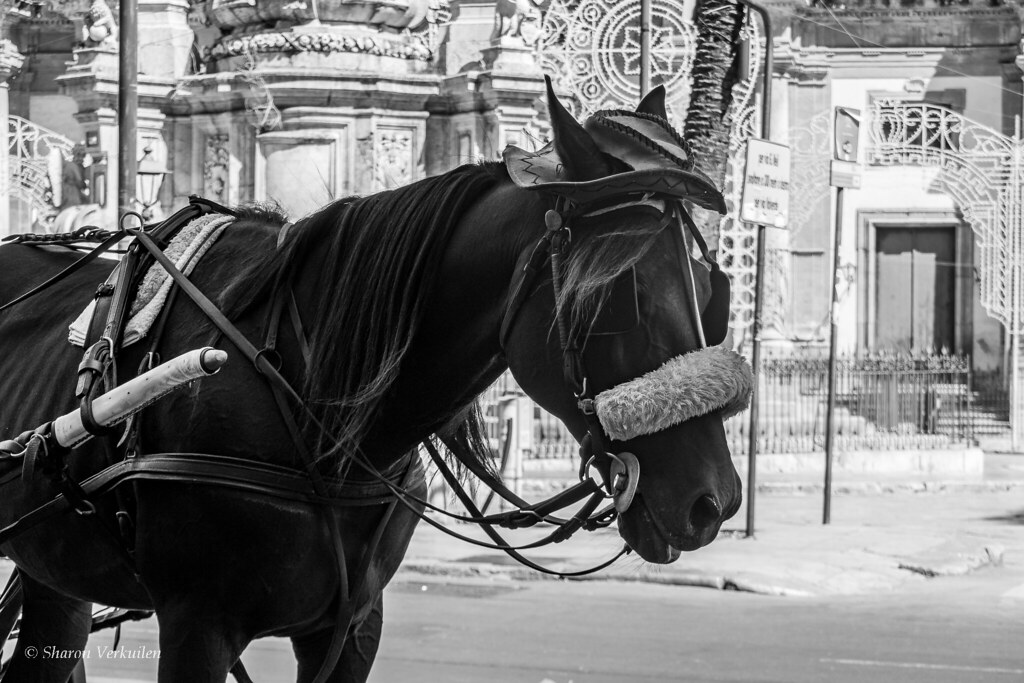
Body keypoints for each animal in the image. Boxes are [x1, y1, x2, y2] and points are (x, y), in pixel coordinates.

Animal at [0, 79, 747, 682]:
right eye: (619, 291)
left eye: (712, 286)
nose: (714, 502)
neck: (308, 398)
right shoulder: (197, 624)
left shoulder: (352, 629)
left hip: (53, 570)